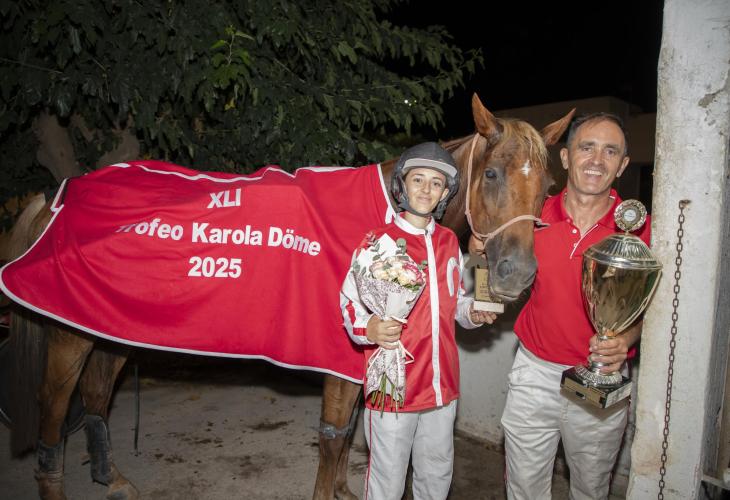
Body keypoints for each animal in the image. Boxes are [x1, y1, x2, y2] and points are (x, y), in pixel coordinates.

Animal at [3, 93, 573, 500]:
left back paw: (113, 478)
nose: (518, 275)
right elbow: (332, 434)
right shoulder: (344, 348)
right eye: (492, 173)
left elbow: (348, 431)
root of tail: (57, 197)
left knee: (97, 396)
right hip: (68, 336)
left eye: (548, 186)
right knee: (55, 407)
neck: (387, 211)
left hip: (109, 327)